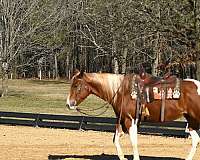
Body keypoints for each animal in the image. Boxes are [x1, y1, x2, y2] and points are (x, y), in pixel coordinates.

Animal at [67, 70, 200, 160]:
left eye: (76, 85)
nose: (69, 104)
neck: (121, 91)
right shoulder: (121, 120)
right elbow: (116, 140)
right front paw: (122, 157)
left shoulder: (130, 120)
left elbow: (133, 141)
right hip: (191, 120)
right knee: (195, 139)